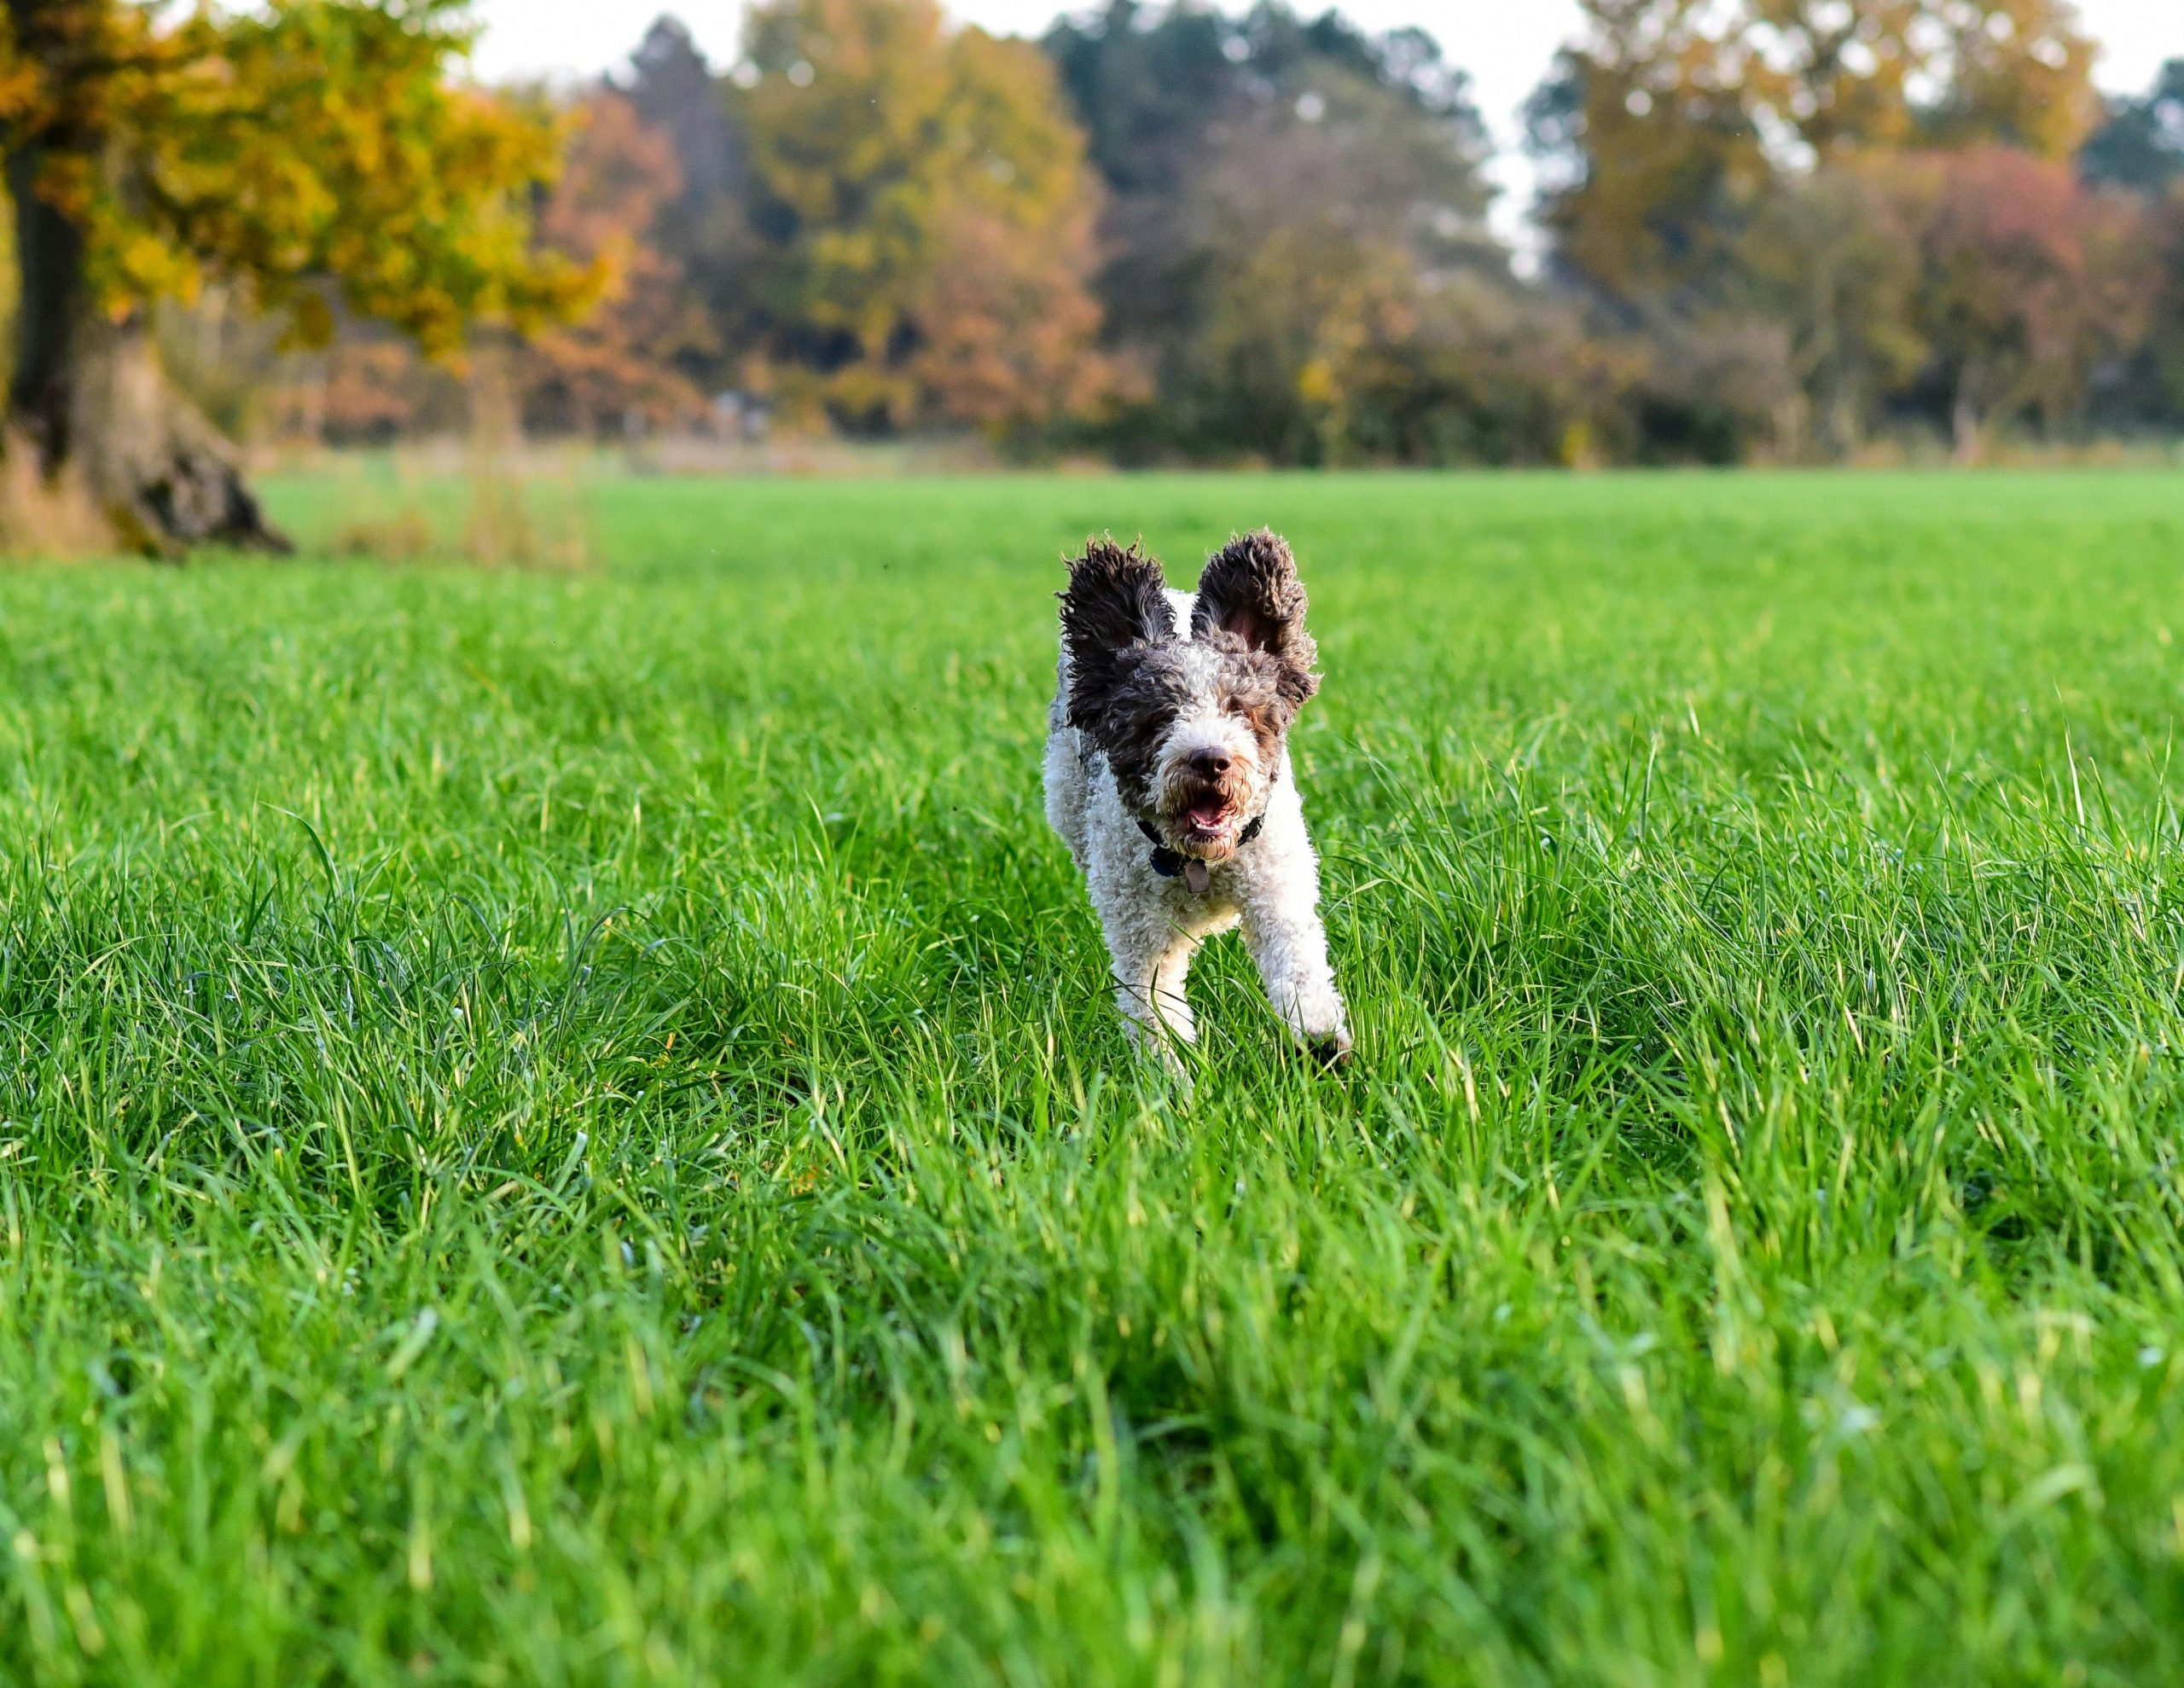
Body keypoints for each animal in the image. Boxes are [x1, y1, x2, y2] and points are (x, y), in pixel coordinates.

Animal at [1039, 525, 1345, 1065]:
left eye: (1239, 708)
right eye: (1158, 717)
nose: (1209, 759)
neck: (1199, 864)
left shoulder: (1277, 886)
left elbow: (1297, 961)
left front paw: (1322, 1038)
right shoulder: (1139, 929)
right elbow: (1154, 1009)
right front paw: (1173, 1080)